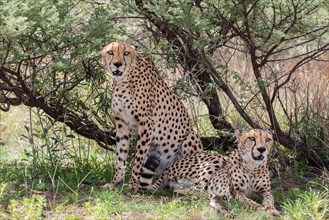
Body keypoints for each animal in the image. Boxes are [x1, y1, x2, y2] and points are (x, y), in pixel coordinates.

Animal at [100, 42, 202, 191]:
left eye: (126, 53)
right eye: (110, 52)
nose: (117, 64)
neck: (123, 81)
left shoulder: (146, 123)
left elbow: (139, 157)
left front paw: (133, 184)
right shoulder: (121, 123)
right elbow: (120, 154)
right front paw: (115, 182)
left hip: (190, 137)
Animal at [144, 128, 280, 216]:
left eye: (268, 139)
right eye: (252, 138)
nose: (262, 149)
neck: (252, 166)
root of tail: (169, 166)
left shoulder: (265, 190)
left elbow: (270, 200)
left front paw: (272, 210)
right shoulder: (237, 192)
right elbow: (250, 201)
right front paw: (261, 208)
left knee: (180, 188)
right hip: (217, 159)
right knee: (194, 190)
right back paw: (215, 197)